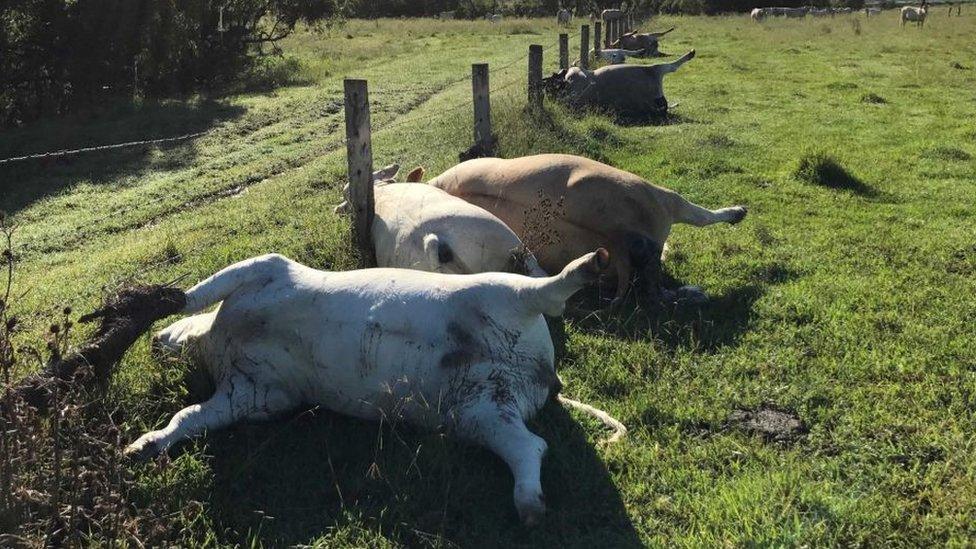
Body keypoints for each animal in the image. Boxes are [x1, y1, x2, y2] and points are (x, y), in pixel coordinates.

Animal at [127, 247, 616, 524]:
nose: (153, 342)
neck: (219, 338)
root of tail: (544, 371)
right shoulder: (257, 396)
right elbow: (188, 416)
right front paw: (141, 448)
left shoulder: (266, 268)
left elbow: (196, 293)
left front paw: (151, 304)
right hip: (482, 412)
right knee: (529, 446)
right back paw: (530, 508)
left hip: (501, 292)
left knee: (546, 292)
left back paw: (591, 264)